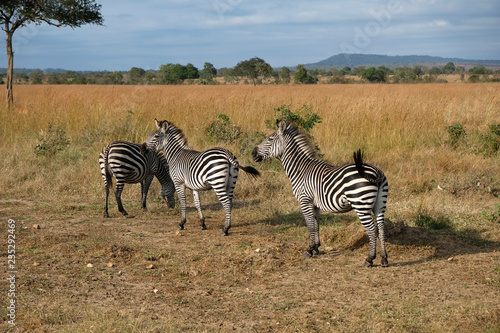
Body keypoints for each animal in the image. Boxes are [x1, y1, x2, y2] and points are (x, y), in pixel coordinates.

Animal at [252, 119, 388, 268]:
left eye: (270, 139)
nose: (253, 153)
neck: (301, 170)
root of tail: (377, 172)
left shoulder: (304, 200)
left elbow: (310, 225)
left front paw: (309, 250)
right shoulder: (315, 204)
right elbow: (316, 224)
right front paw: (316, 248)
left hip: (361, 204)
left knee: (372, 230)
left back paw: (369, 259)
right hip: (380, 204)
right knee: (381, 228)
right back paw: (384, 259)